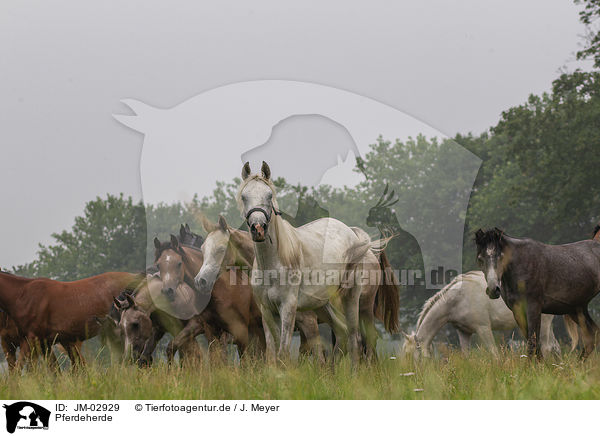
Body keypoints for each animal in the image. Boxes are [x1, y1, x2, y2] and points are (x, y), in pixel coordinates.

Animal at [236, 162, 398, 362]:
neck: (272, 266)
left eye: (269, 195)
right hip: (323, 304)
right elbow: (272, 354)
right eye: (244, 196)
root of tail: (352, 233)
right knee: (342, 333)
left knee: (355, 339)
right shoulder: (266, 310)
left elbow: (283, 353)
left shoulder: (288, 308)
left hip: (353, 300)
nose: (258, 228)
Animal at [398, 270, 572, 360]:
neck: (459, 298)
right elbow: (466, 356)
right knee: (555, 347)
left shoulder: (483, 329)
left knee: (547, 347)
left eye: (409, 355)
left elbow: (494, 354)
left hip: (543, 324)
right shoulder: (464, 332)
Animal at [476, 228, 600, 358]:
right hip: (576, 308)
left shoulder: (533, 307)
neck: (520, 265)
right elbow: (533, 341)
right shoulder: (517, 311)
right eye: (480, 258)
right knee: (593, 335)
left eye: (501, 256)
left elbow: (533, 341)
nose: (493, 289)